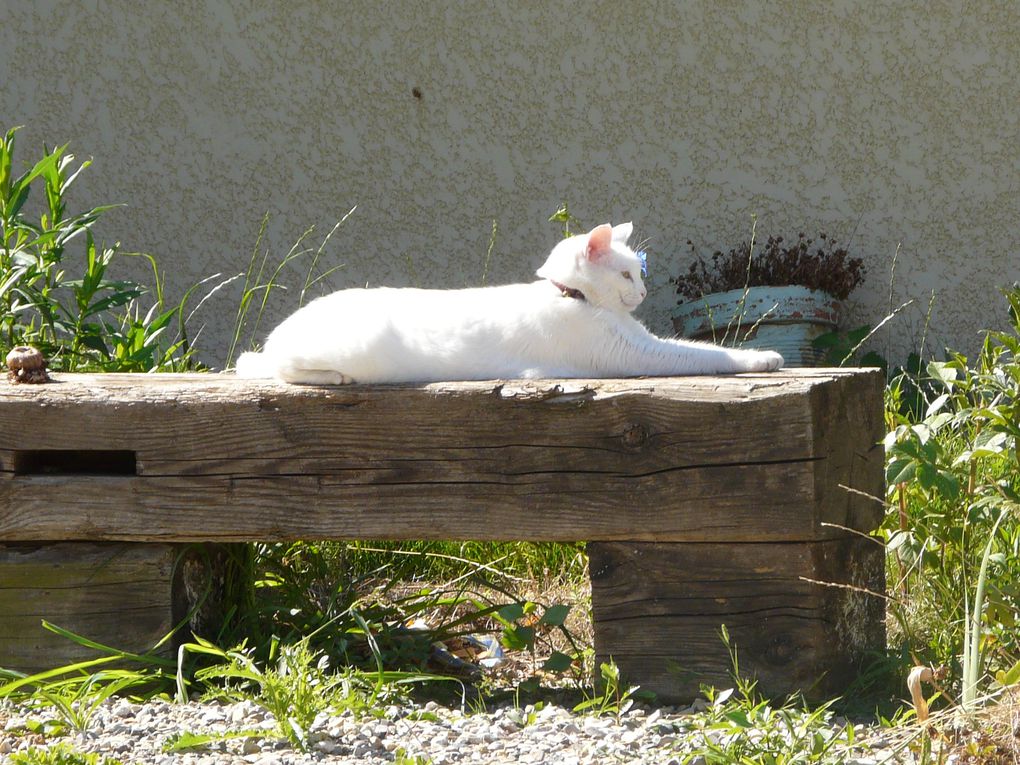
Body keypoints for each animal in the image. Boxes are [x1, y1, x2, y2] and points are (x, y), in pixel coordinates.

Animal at [234, 224, 783, 385]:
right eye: (627, 273)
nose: (644, 293)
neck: (573, 297)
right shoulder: (636, 354)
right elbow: (704, 353)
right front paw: (763, 357)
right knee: (272, 367)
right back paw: (332, 378)